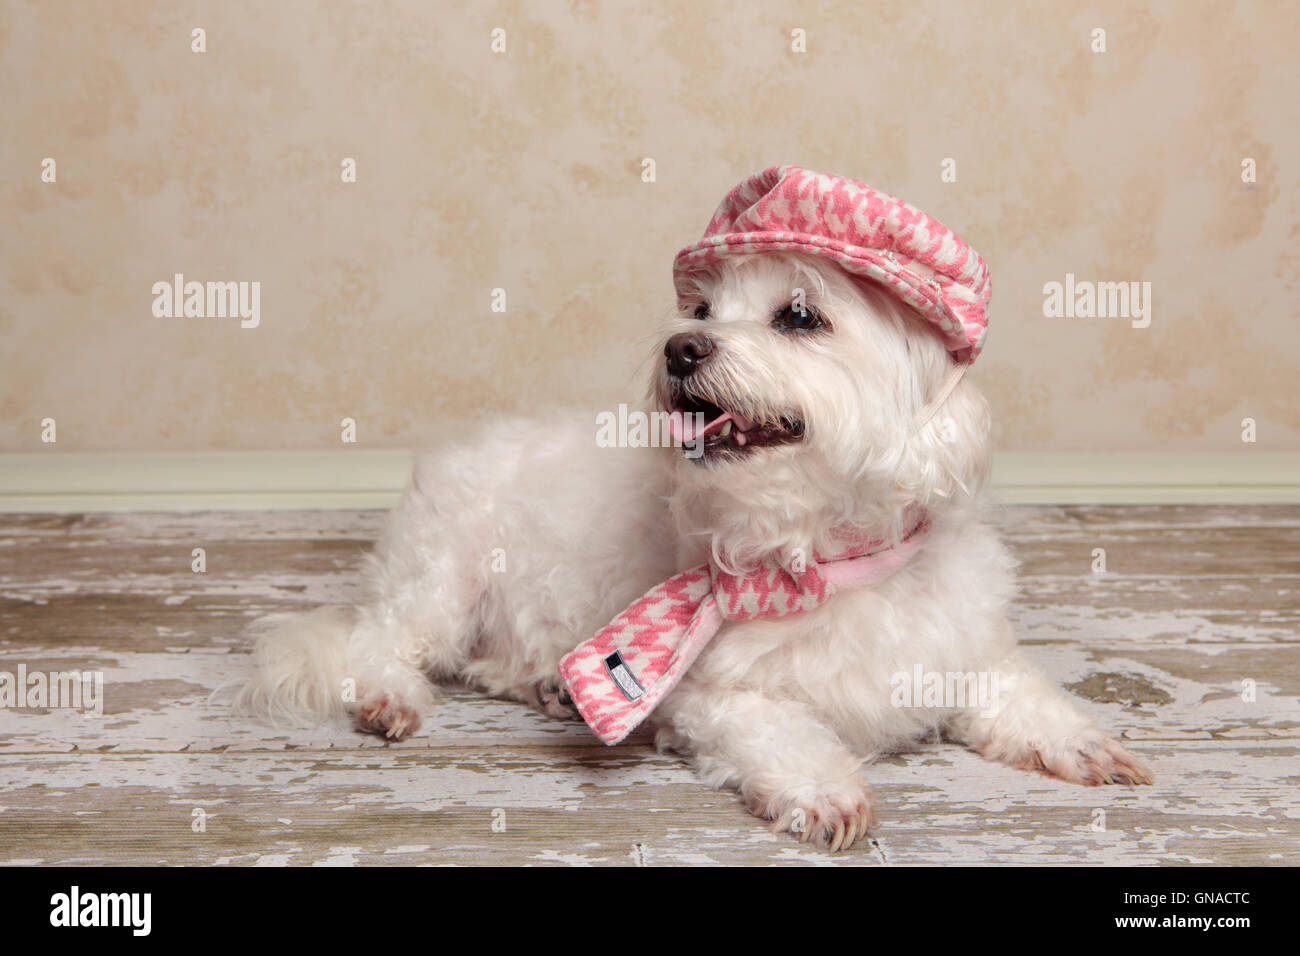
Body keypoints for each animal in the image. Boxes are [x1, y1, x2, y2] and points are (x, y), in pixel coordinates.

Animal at [233, 174, 1149, 853]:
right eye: (703, 313)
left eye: (800, 316)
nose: (680, 349)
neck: (826, 561)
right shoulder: (711, 698)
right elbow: (784, 733)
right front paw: (828, 789)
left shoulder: (961, 648)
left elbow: (1016, 691)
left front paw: (1078, 737)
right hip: (442, 575)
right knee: (381, 644)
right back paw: (390, 696)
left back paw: (548, 686)